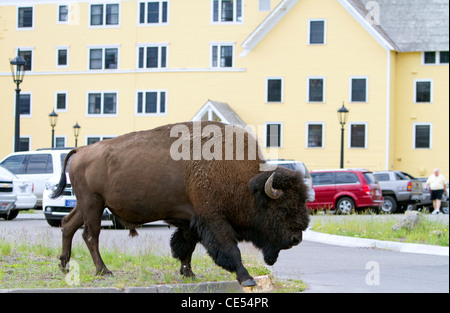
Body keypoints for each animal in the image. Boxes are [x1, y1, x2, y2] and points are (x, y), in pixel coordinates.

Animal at [50, 121, 310, 286]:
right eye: (283, 208)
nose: (296, 238)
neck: (244, 182)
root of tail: (81, 149)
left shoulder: (191, 219)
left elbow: (187, 246)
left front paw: (188, 274)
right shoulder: (213, 218)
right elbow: (229, 249)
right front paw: (246, 278)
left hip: (85, 204)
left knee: (68, 225)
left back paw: (64, 266)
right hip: (93, 203)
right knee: (90, 235)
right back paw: (104, 271)